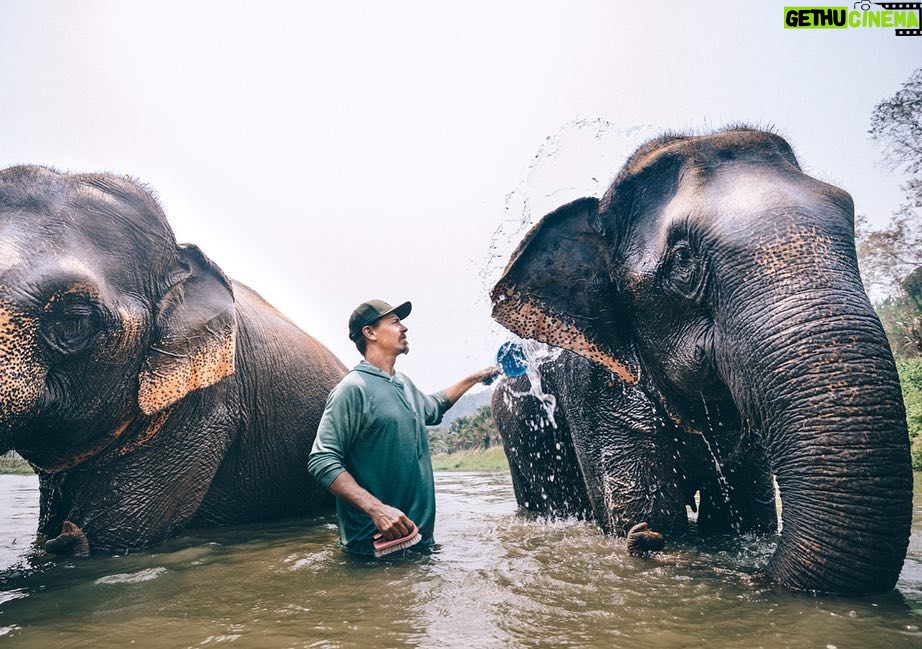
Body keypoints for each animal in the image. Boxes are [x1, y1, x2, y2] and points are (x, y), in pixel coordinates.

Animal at [492, 125, 908, 592]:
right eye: (682, 260)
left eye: (849, 217)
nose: (644, 541)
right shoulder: (595, 391)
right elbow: (650, 513)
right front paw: (651, 533)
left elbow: (740, 518)